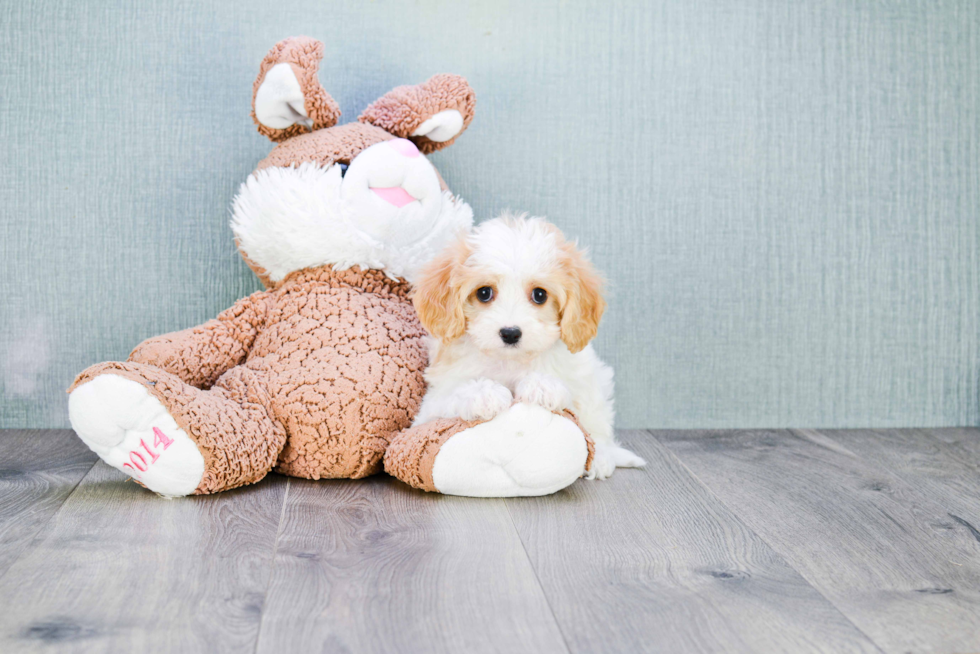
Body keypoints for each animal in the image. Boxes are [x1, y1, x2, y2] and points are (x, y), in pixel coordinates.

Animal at [412, 215, 648, 482]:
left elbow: (573, 400)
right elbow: (451, 396)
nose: (510, 333)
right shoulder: (428, 410)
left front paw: (542, 386)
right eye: (484, 293)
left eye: (540, 295)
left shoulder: (580, 378)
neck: (511, 361)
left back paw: (602, 458)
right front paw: (483, 394)